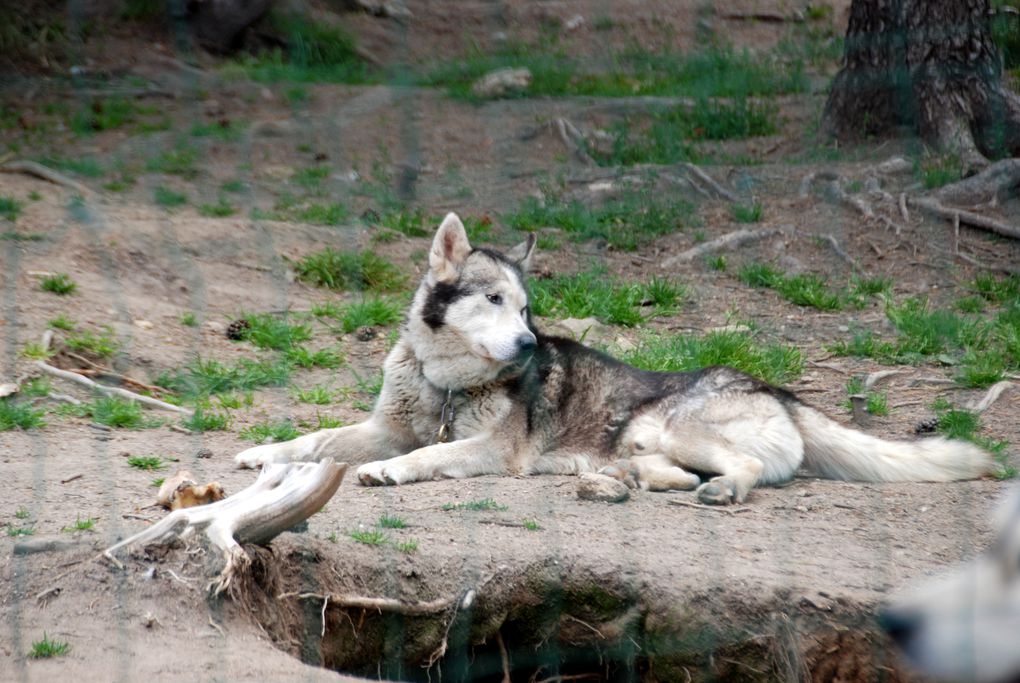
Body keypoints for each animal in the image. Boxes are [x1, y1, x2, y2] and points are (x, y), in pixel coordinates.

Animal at [233, 214, 995, 507]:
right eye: (492, 300)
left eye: (526, 309)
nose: (529, 345)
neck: (444, 383)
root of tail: (778, 389)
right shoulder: (382, 424)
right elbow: (315, 437)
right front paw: (260, 453)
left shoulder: (489, 450)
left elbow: (424, 455)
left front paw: (389, 472)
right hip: (650, 442)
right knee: (668, 474)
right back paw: (627, 481)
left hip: (678, 427)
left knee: (748, 471)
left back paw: (721, 489)